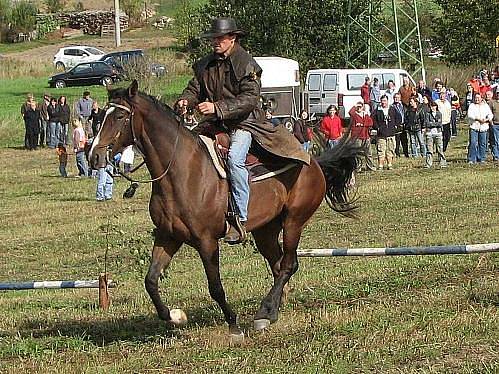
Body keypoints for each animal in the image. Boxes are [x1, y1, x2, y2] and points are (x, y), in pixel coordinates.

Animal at [90, 81, 362, 338]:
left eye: (120, 116)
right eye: (100, 115)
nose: (94, 156)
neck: (181, 170)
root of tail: (314, 163)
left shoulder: (207, 241)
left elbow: (215, 287)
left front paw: (233, 325)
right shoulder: (168, 236)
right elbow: (151, 281)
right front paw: (176, 316)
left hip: (294, 220)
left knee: (288, 264)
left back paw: (264, 313)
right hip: (265, 230)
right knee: (278, 266)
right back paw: (272, 310)